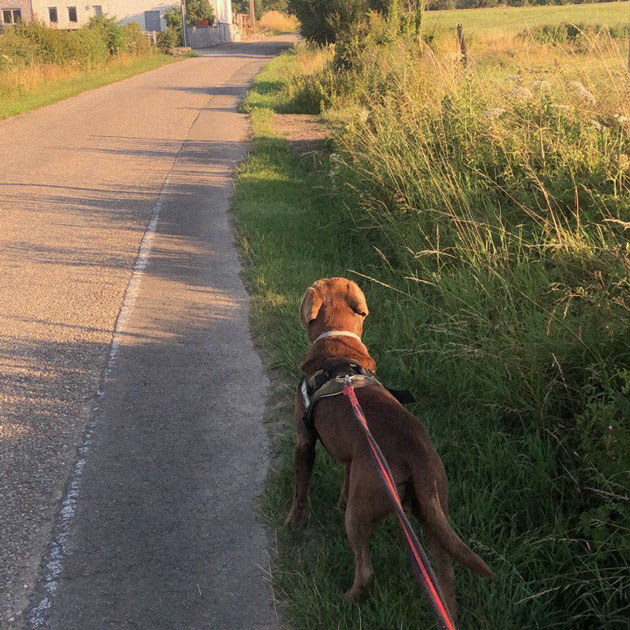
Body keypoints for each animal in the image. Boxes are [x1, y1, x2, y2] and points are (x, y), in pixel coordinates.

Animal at [286, 278, 494, 624]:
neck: (338, 344)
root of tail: (417, 454)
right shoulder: (351, 457)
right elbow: (345, 478)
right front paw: (338, 500)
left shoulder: (304, 441)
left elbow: (300, 490)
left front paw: (292, 522)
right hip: (434, 512)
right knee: (446, 574)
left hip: (362, 513)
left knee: (365, 570)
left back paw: (348, 599)